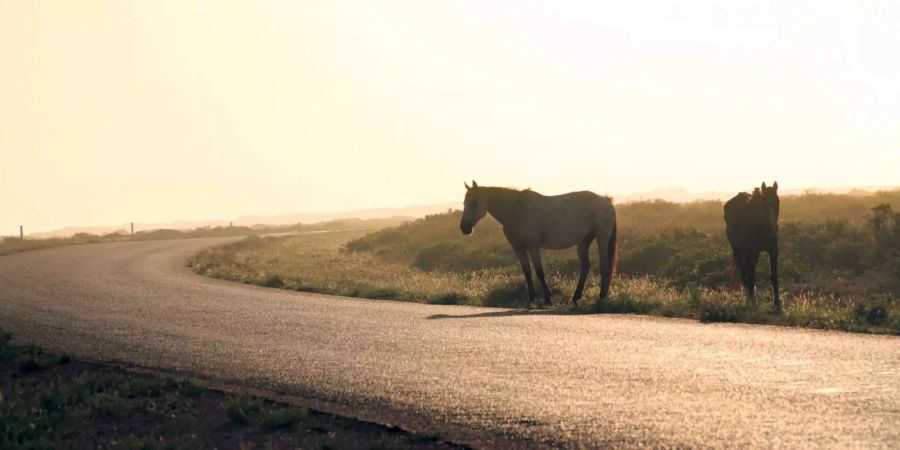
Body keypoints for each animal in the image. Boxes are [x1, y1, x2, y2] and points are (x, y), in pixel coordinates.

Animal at [460, 181, 616, 308]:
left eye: (474, 202)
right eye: (464, 202)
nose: (464, 228)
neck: (517, 210)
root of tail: (605, 200)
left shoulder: (533, 247)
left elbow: (539, 272)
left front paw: (548, 299)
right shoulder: (519, 249)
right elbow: (527, 272)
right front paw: (531, 299)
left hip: (601, 236)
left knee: (604, 264)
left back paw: (601, 298)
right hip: (584, 240)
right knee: (585, 266)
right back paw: (576, 298)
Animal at [724, 181, 780, 312]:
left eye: (778, 201)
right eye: (764, 203)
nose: (773, 229)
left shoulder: (773, 251)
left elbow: (773, 276)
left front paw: (777, 304)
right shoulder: (752, 252)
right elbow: (751, 275)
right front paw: (752, 301)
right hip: (739, 251)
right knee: (745, 273)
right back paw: (749, 299)